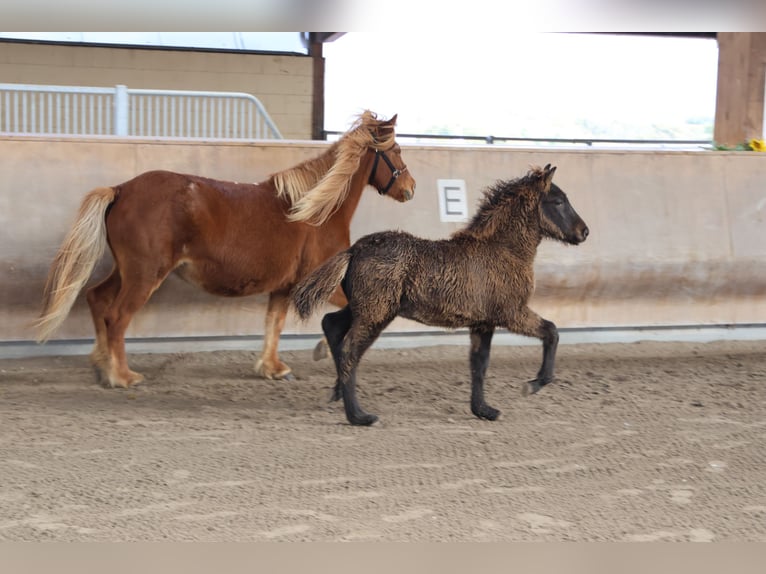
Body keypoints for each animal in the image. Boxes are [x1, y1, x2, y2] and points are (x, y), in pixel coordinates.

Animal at [36, 110, 416, 390]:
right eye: (396, 150)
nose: (410, 188)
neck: (315, 210)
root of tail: (120, 190)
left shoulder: (283, 287)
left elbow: (274, 324)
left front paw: (273, 368)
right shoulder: (315, 281)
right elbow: (352, 308)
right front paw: (322, 349)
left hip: (126, 270)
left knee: (97, 299)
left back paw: (102, 367)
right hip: (144, 275)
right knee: (116, 316)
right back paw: (122, 376)